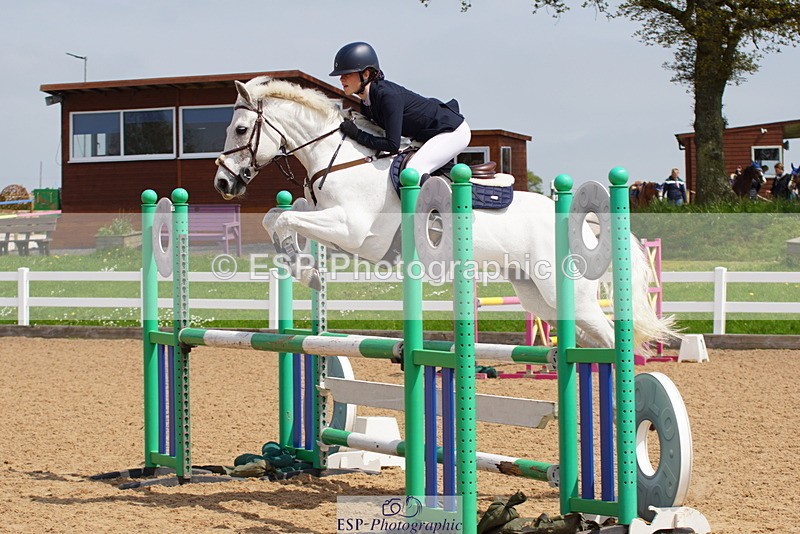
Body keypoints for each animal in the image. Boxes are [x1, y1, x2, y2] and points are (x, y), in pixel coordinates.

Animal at [213, 76, 676, 349]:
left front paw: (305, 272)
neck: (341, 157)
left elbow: (283, 217)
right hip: (538, 294)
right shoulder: (330, 219)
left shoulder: (355, 232)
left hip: (568, 291)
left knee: (615, 339)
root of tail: (586, 224)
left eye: (240, 129)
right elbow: (279, 216)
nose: (223, 184)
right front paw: (304, 269)